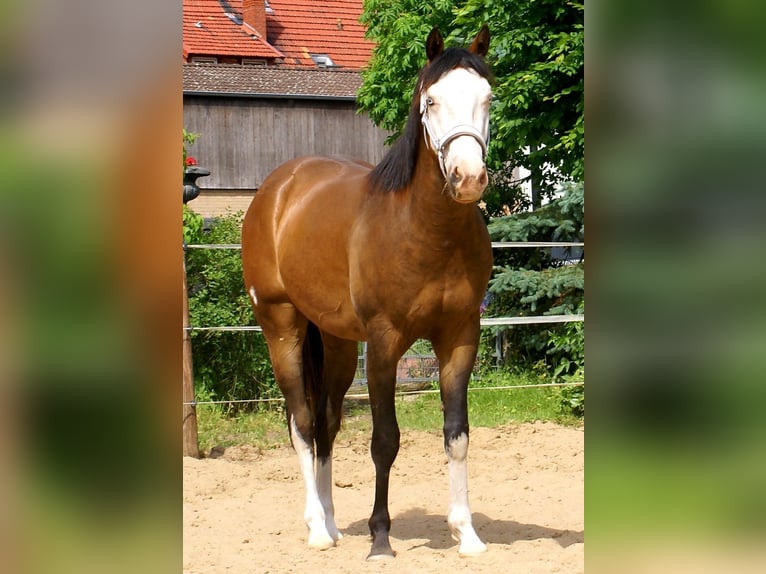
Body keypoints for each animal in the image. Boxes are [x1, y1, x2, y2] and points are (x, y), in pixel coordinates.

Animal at [241, 25, 493, 560]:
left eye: (487, 98)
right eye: (431, 100)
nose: (468, 178)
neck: (424, 231)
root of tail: (278, 188)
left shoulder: (460, 337)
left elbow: (457, 435)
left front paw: (467, 533)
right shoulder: (383, 343)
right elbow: (385, 440)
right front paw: (381, 539)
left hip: (336, 342)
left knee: (326, 424)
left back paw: (334, 523)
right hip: (281, 325)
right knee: (301, 423)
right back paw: (317, 528)